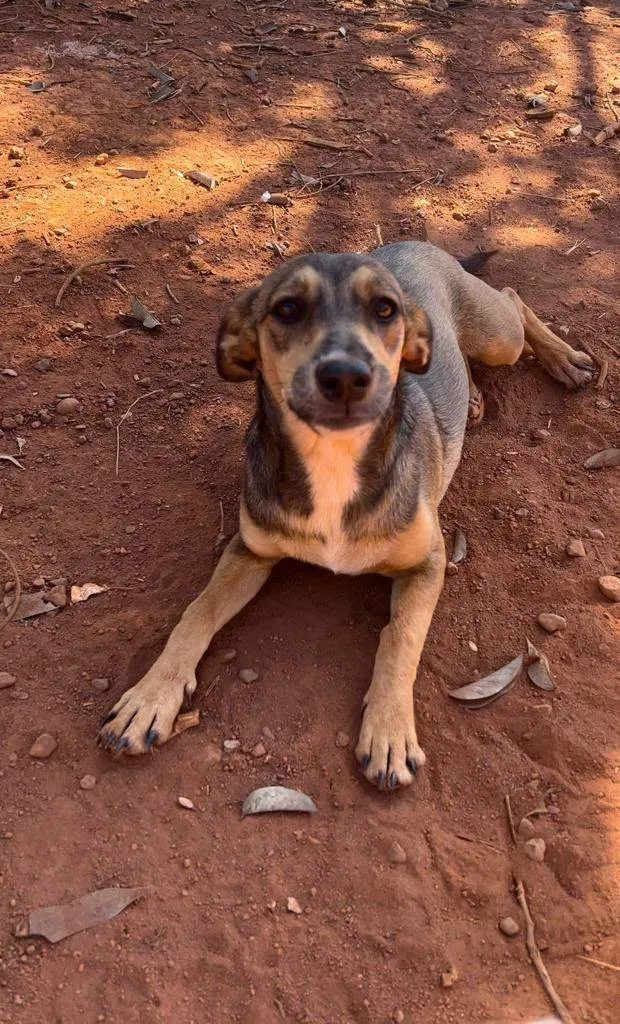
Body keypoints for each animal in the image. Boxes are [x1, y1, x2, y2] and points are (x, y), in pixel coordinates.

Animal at [98, 241, 594, 790]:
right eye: (287, 308)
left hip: (498, 337)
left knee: (512, 298)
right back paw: (476, 398)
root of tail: (414, 242)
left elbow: (400, 638)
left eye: (385, 310)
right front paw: (149, 697)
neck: (333, 458)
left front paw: (390, 732)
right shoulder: (248, 551)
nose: (346, 377)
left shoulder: (429, 563)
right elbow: (196, 613)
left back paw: (565, 359)